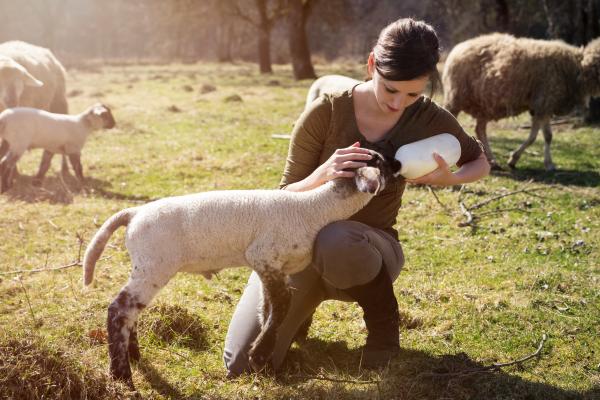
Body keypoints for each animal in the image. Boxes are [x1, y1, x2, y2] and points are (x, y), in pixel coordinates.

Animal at [79, 148, 398, 386]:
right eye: (380, 163)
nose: (397, 162)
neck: (315, 209)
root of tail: (133, 213)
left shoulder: (272, 267)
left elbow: (269, 307)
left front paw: (262, 356)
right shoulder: (264, 255)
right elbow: (282, 304)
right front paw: (259, 354)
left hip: (144, 266)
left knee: (130, 311)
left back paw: (133, 356)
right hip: (154, 266)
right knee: (119, 309)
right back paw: (122, 375)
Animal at [440, 32, 600, 170]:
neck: (578, 69)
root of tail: (458, 48)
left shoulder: (543, 105)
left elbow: (543, 136)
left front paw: (543, 163)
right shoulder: (544, 101)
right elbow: (538, 137)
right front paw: (519, 159)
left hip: (484, 104)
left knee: (480, 129)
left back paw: (492, 161)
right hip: (456, 97)